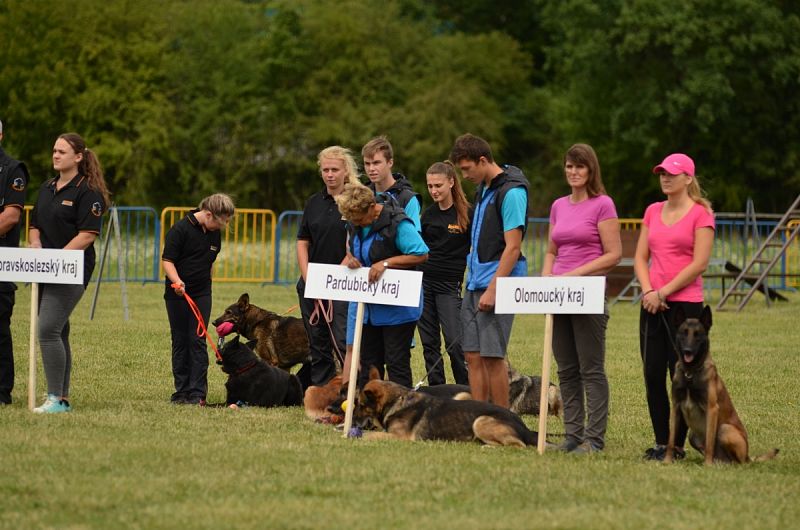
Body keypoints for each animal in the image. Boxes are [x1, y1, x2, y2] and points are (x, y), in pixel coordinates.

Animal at [664, 306, 780, 462]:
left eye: (697, 335)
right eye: (684, 333)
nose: (688, 350)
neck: (691, 372)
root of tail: (748, 456)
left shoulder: (712, 409)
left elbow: (709, 442)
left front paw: (707, 464)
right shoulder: (676, 407)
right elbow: (670, 440)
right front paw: (666, 461)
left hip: (724, 429)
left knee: (739, 462)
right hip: (692, 436)